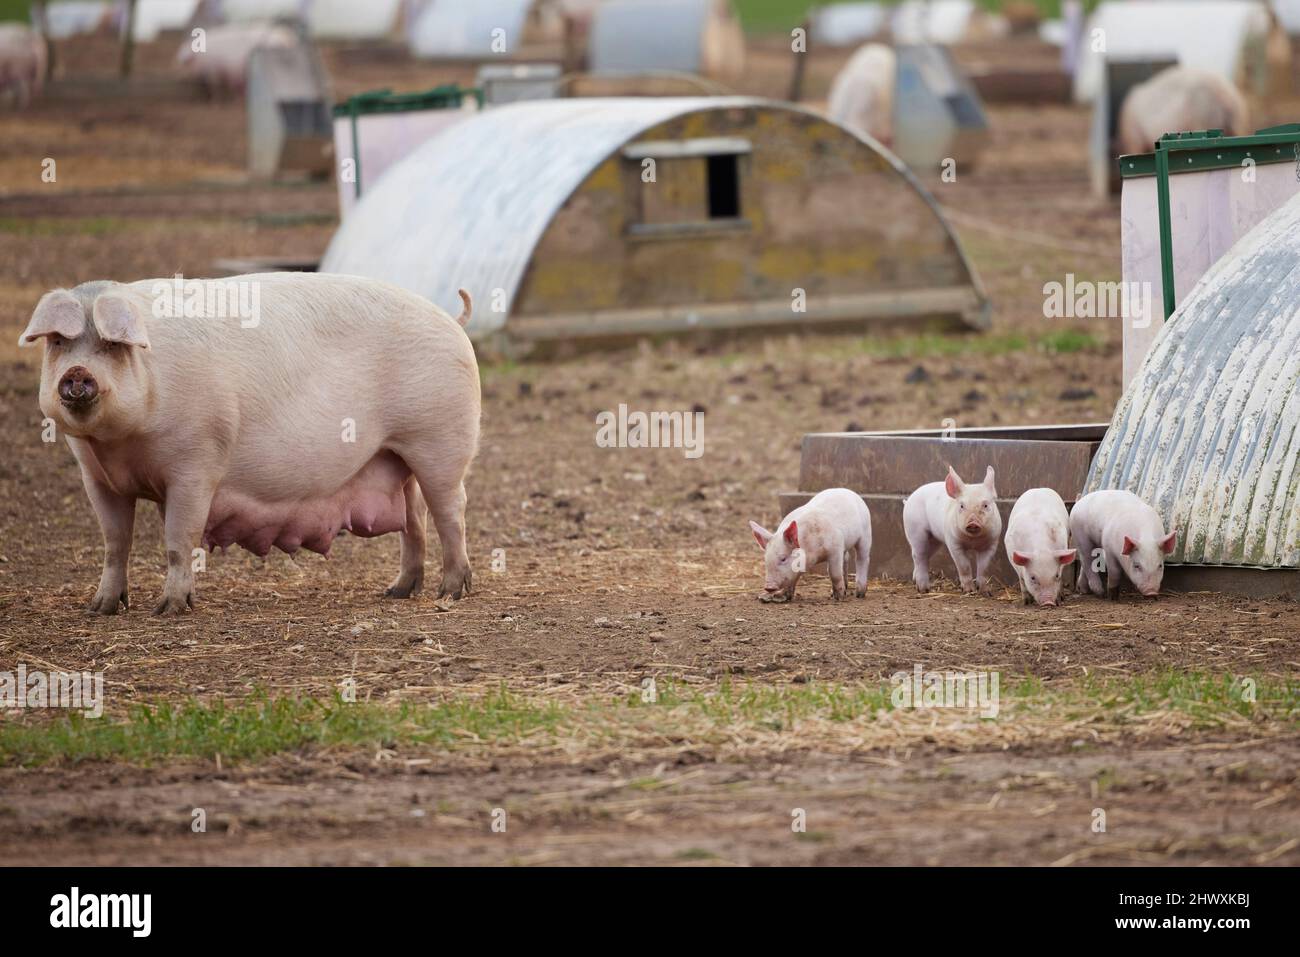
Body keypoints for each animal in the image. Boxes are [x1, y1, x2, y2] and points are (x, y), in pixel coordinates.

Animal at [20, 270, 480, 613]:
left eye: (111, 345)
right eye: (58, 342)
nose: (77, 373)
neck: (119, 446)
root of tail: (451, 320)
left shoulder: (196, 466)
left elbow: (178, 539)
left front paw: (170, 608)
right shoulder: (95, 476)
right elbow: (115, 542)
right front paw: (100, 608)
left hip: (439, 441)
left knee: (451, 511)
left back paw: (451, 591)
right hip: (397, 456)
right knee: (414, 517)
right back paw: (398, 591)